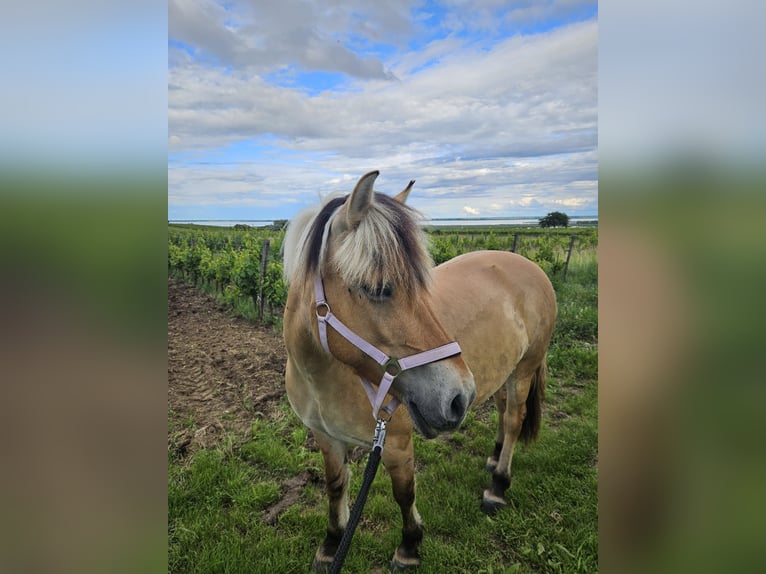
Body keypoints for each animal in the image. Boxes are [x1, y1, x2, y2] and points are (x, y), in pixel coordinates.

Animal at [282, 171, 560, 572]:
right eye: (378, 289)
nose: (459, 396)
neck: (325, 379)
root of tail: (530, 266)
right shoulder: (325, 437)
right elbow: (335, 485)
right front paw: (332, 542)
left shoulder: (396, 443)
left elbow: (403, 492)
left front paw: (409, 545)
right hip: (503, 371)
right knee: (502, 410)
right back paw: (494, 459)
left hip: (524, 370)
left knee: (513, 420)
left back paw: (498, 486)